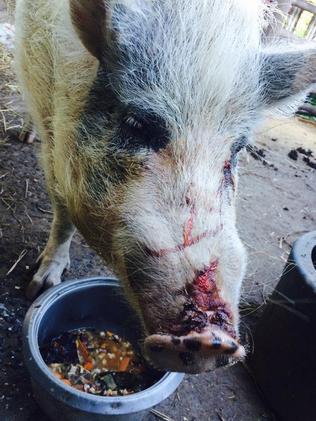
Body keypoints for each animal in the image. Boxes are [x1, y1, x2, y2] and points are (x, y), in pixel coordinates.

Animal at [14, 0, 316, 374]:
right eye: (136, 124)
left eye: (237, 149)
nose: (212, 339)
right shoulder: (52, 118)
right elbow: (62, 211)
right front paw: (38, 287)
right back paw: (24, 135)